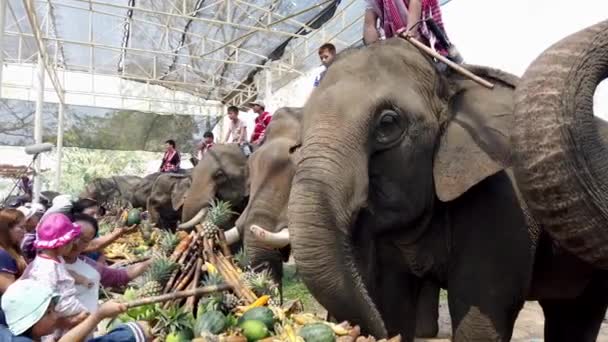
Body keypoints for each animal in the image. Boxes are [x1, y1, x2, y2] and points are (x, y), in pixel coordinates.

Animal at [282, 28, 608, 340]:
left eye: (387, 124)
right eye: (298, 142)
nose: (353, 328)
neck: (448, 81)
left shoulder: (501, 198)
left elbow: (483, 309)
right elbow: (393, 301)